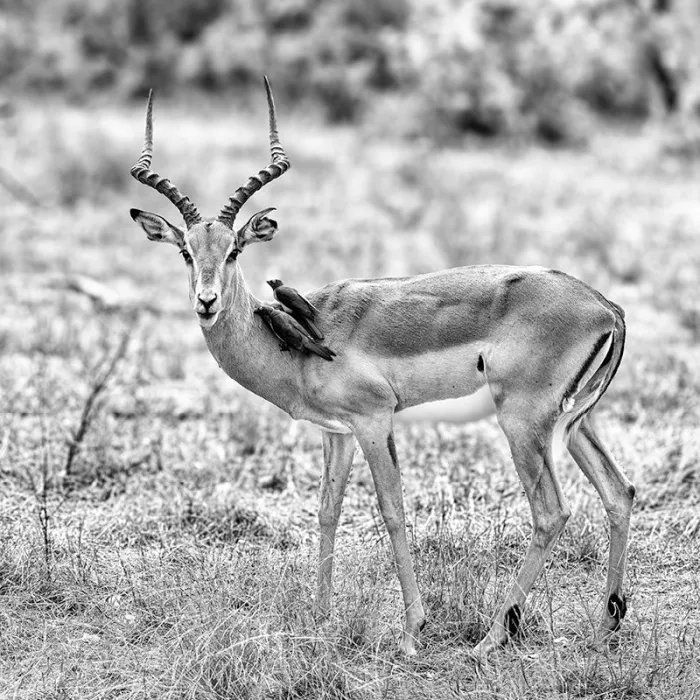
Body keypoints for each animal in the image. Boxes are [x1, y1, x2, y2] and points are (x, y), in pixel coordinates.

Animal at [129, 78, 634, 658]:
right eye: (186, 253)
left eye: (234, 250)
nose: (207, 302)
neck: (295, 339)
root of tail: (606, 307)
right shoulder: (337, 432)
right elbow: (328, 510)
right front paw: (320, 619)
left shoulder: (374, 421)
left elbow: (391, 510)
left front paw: (413, 631)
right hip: (576, 422)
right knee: (619, 492)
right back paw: (604, 627)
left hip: (524, 422)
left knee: (551, 512)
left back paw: (489, 640)